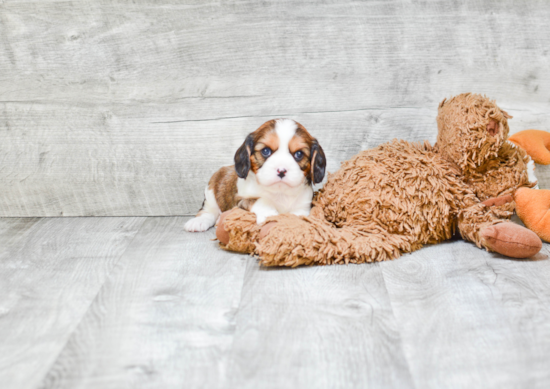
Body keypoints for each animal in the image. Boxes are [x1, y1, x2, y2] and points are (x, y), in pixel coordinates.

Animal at [185, 118, 326, 230]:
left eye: (299, 154)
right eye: (266, 151)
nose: (281, 170)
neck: (280, 192)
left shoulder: (304, 205)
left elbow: (297, 215)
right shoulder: (240, 199)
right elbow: (259, 199)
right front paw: (269, 213)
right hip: (211, 191)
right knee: (208, 211)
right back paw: (199, 222)